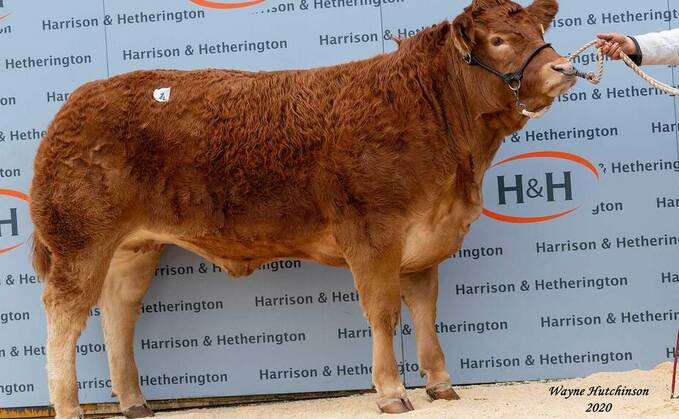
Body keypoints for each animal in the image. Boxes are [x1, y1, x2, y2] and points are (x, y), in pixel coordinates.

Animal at [29, 1, 576, 418]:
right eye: (499, 40)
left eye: (539, 30)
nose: (564, 68)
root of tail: (76, 100)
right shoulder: (373, 232)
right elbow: (383, 311)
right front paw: (392, 393)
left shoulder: (424, 240)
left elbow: (425, 310)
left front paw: (441, 384)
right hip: (79, 239)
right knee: (65, 314)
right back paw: (69, 407)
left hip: (134, 247)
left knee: (117, 312)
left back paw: (135, 403)